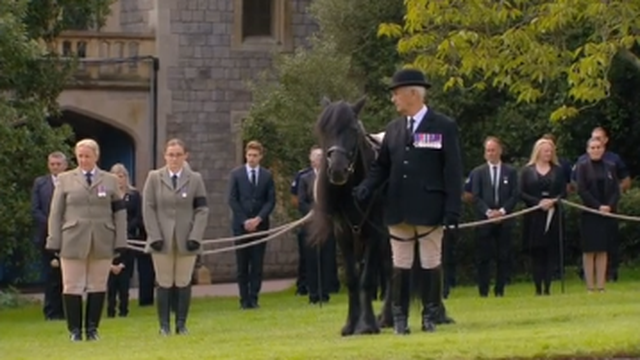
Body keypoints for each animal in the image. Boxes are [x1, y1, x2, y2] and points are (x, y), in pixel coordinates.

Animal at [306, 95, 396, 334]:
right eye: (324, 129)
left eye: (353, 129)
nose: (337, 169)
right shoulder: (343, 234)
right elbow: (353, 277)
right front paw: (351, 323)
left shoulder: (375, 232)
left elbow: (367, 278)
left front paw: (367, 325)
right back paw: (387, 317)